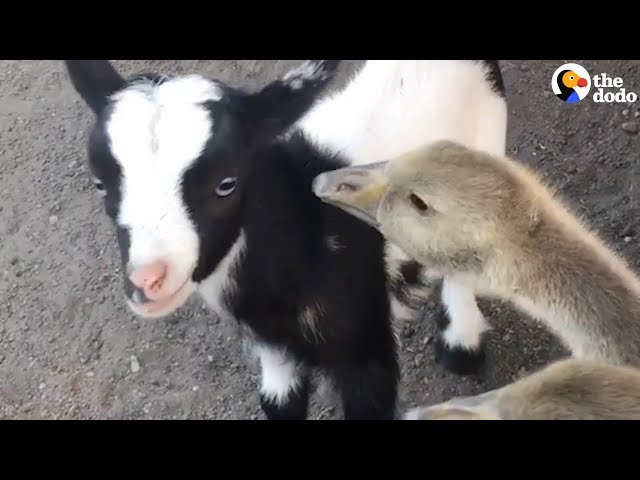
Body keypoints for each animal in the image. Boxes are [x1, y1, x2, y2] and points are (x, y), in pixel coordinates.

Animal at [63, 60, 504, 420]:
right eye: (100, 184)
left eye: (226, 184)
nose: (148, 280)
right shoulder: (271, 346)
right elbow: (280, 404)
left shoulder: (367, 345)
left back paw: (461, 341)